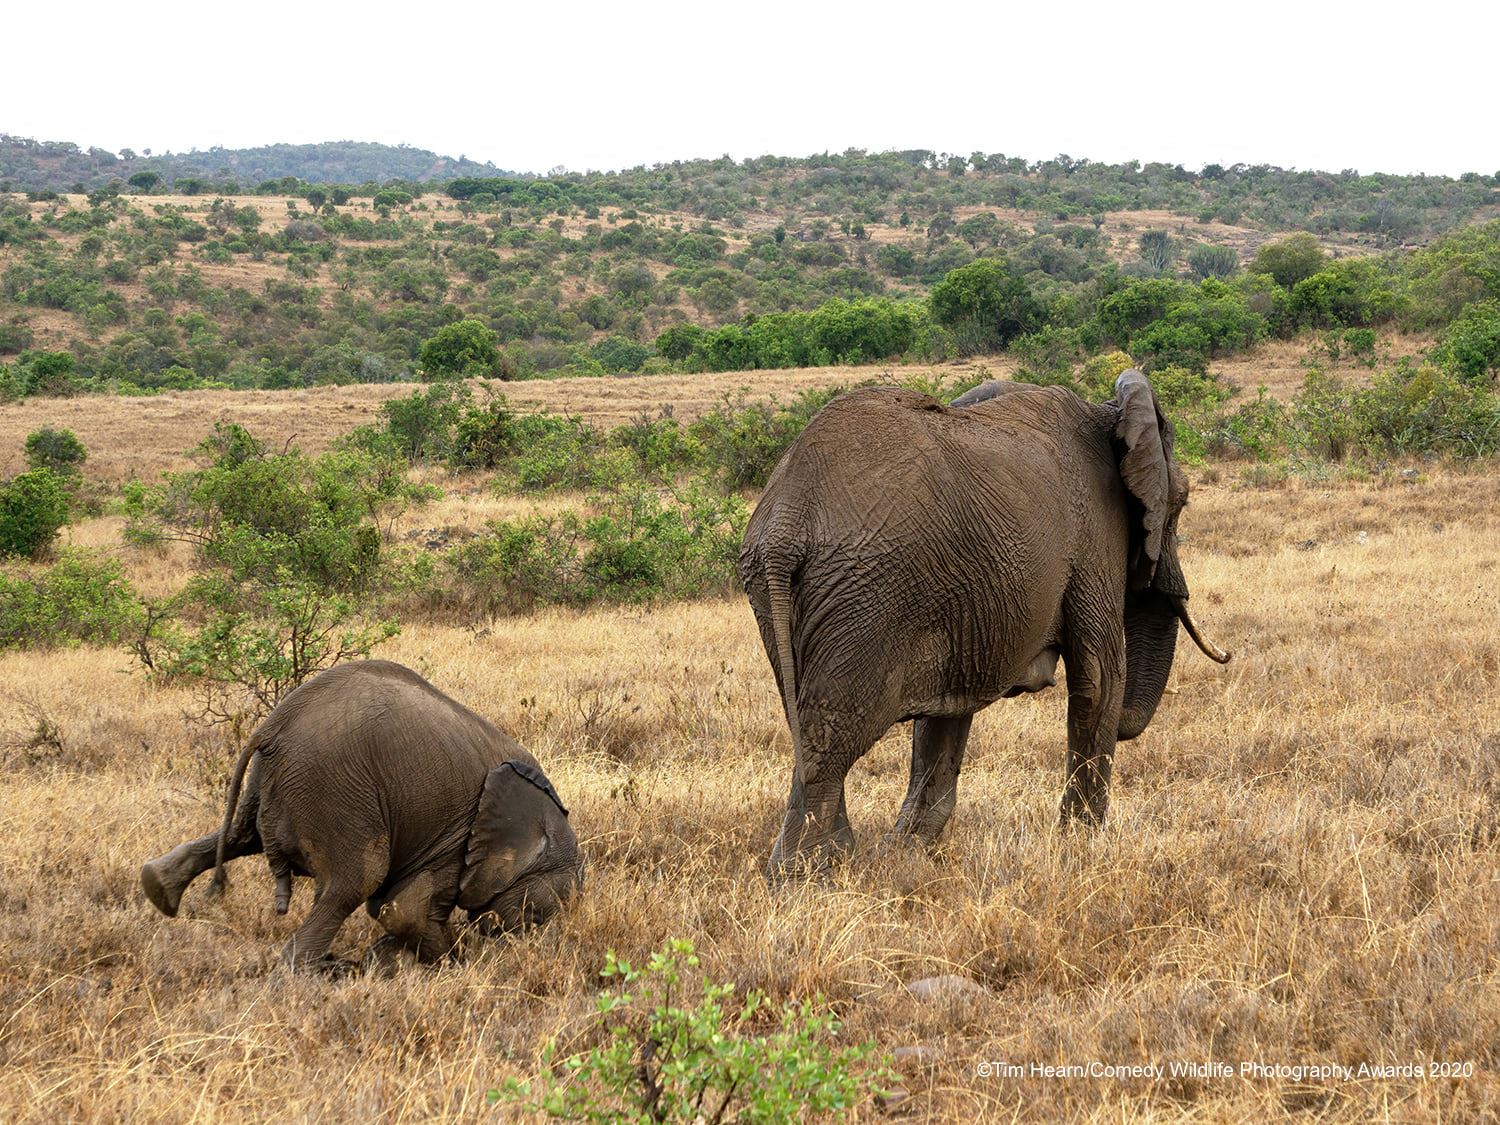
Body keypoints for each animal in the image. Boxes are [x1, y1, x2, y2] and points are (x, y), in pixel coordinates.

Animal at [141, 666, 582, 972]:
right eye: (538, 917)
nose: (518, 948)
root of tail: (271, 728)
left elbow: (393, 910)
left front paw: (387, 963)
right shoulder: (458, 833)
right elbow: (403, 910)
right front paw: (454, 962)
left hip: (274, 786)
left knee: (238, 836)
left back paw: (158, 889)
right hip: (333, 791)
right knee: (354, 880)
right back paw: (307, 976)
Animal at [741, 375, 1230, 876]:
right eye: (1181, 501)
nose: (1227, 654)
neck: (1109, 412)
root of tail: (784, 524)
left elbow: (945, 710)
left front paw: (909, 851)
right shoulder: (1097, 534)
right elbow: (1100, 678)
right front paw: (1080, 844)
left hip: (788, 596)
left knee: (805, 725)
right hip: (863, 596)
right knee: (831, 734)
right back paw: (811, 873)